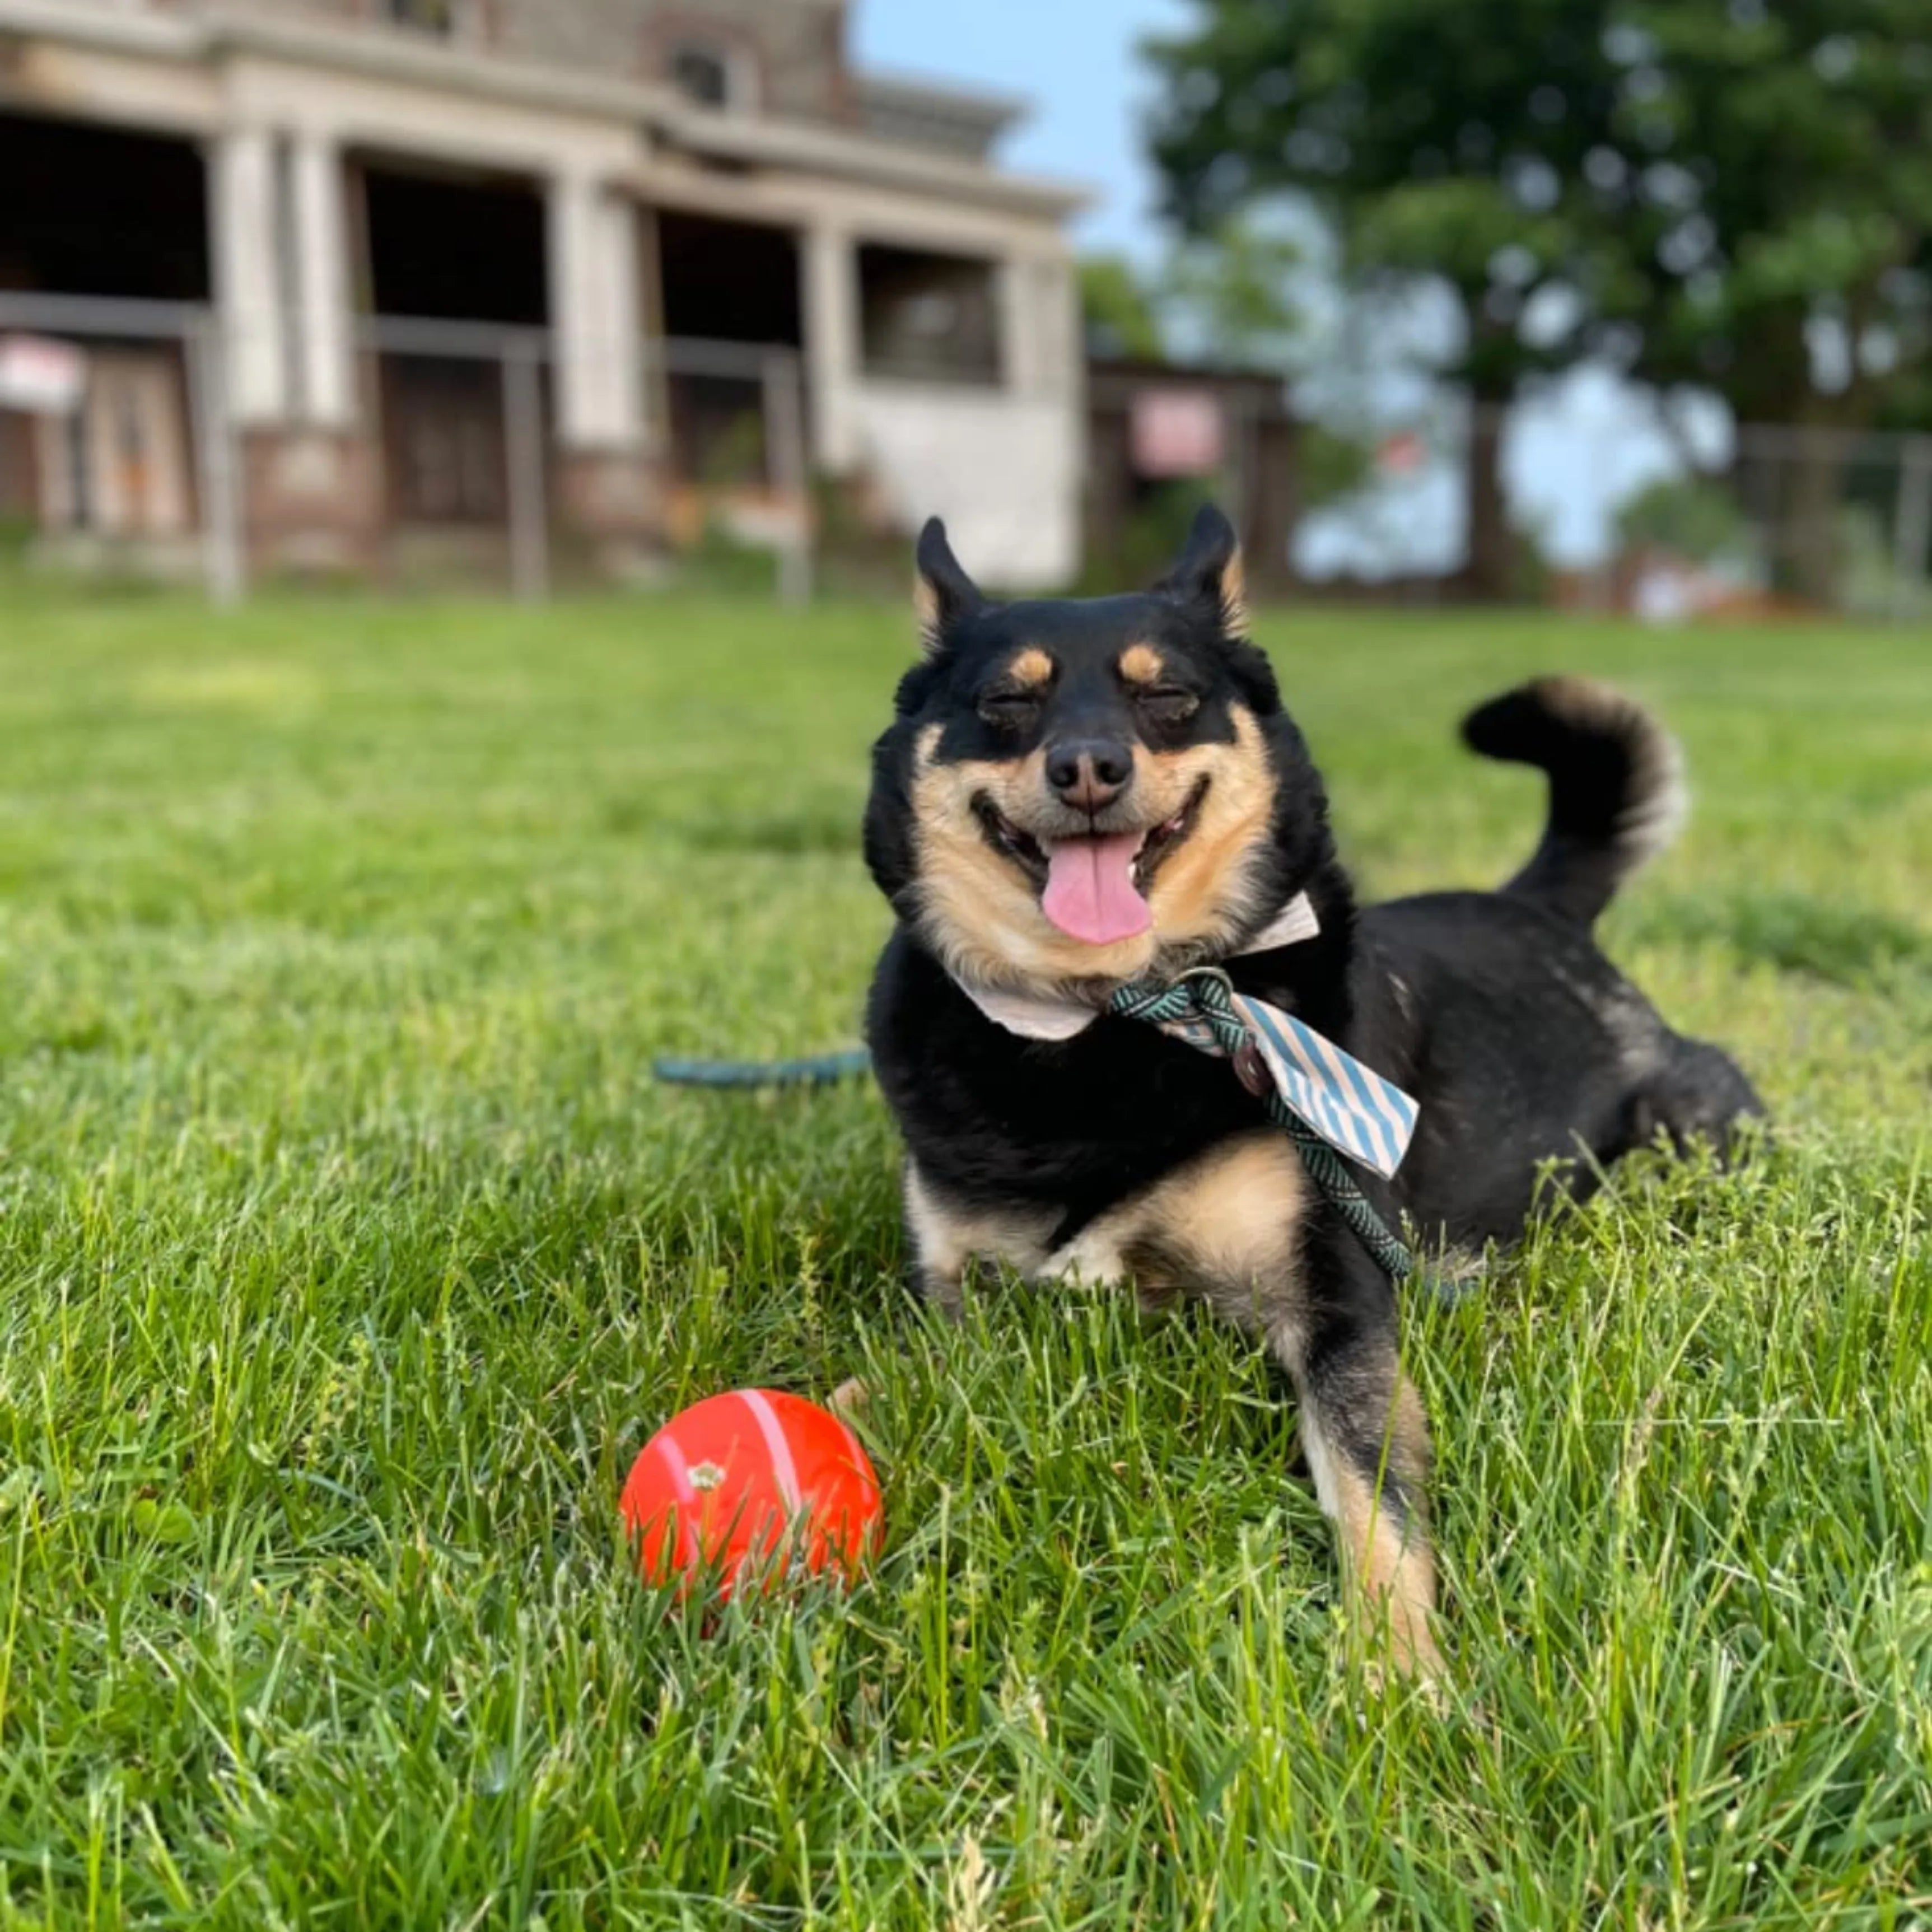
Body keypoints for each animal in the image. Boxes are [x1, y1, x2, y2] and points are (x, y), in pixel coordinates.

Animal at [861, 510, 1770, 1677]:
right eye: (1005, 704)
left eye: (1168, 696)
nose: (1089, 767)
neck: (1118, 1015)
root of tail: (1537, 908)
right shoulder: (953, 1304)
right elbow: (865, 1383)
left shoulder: (1338, 1299)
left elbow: (1376, 1499)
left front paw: (1399, 1674)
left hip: (1685, 1130)